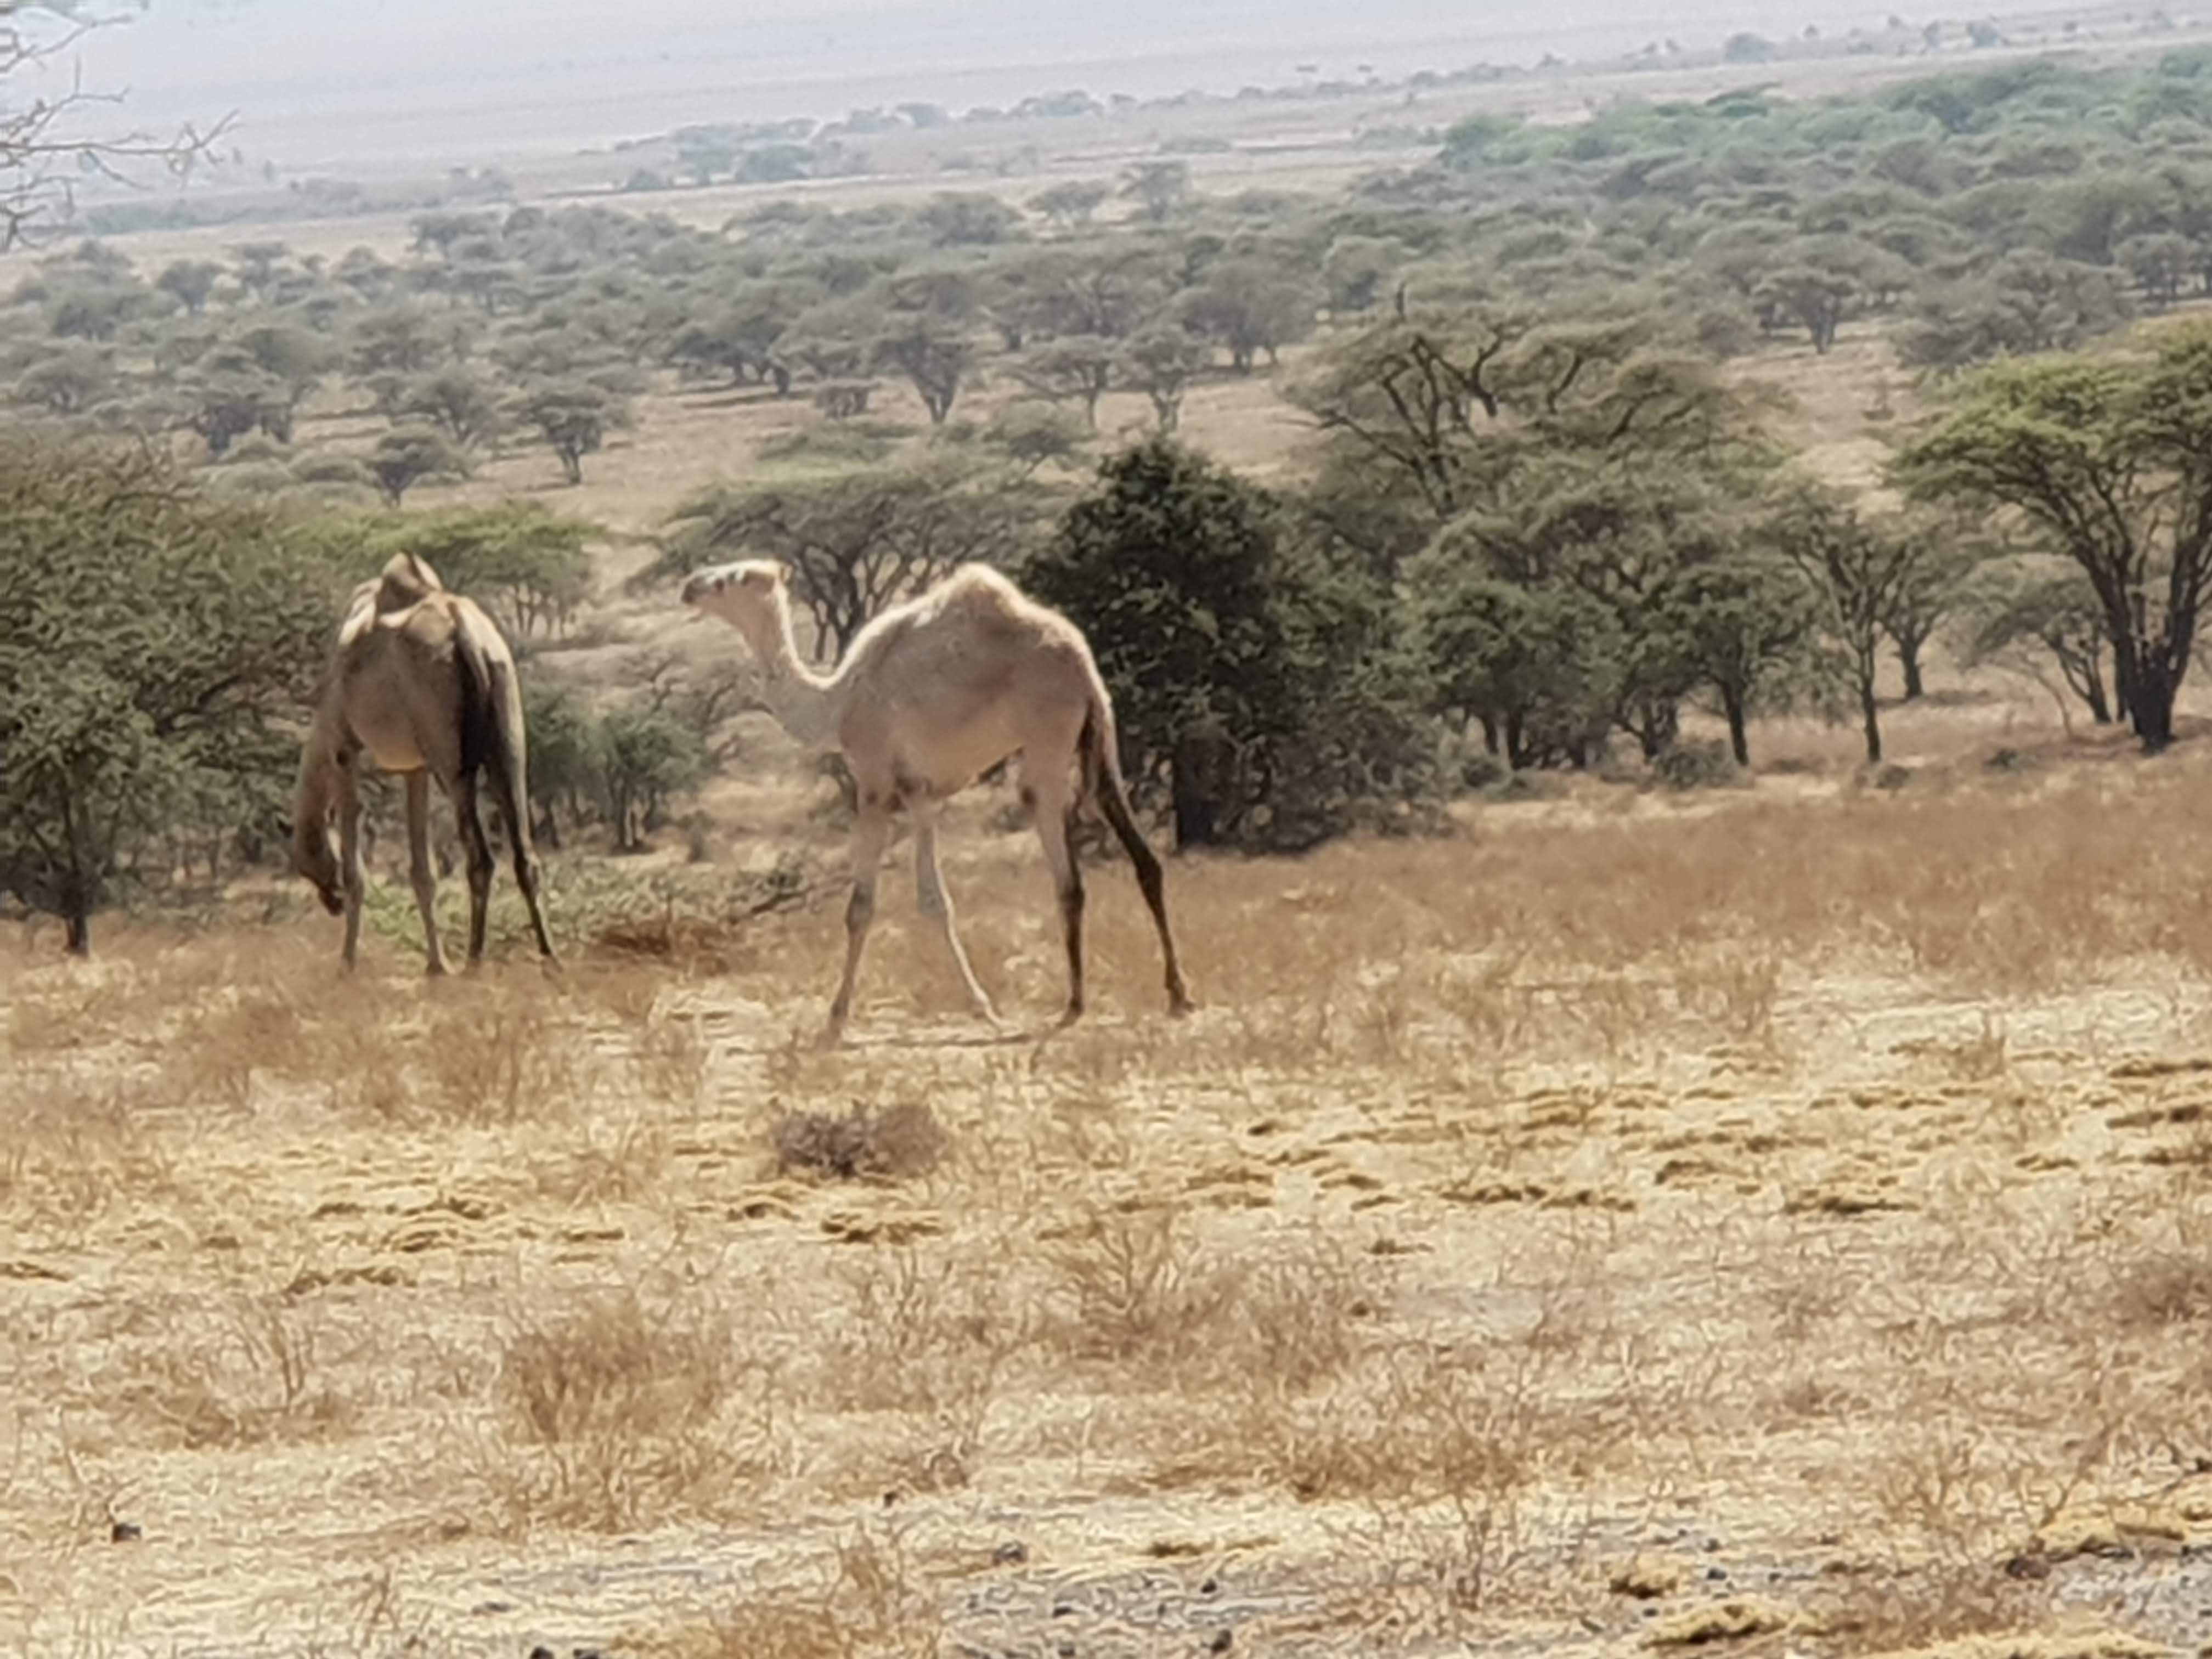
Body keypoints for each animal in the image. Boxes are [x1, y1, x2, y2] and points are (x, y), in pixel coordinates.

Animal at [291, 552, 556, 973]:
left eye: (306, 856)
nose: (330, 903)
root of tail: (466, 632)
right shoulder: (415, 767)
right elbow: (422, 872)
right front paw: (437, 967)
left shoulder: (344, 749)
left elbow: (357, 872)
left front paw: (347, 965)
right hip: (508, 731)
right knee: (525, 853)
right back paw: (550, 960)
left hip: (448, 752)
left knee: (480, 858)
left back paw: (474, 962)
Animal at [680, 559, 1190, 1043]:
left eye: (730, 579)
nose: (690, 585)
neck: (835, 703)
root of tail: (1082, 666)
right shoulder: (923, 793)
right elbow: (927, 901)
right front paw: (977, 1006)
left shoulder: (879, 785)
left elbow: (875, 906)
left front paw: (838, 1019)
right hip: (1099, 730)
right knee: (1134, 848)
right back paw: (1174, 994)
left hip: (1049, 734)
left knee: (1065, 864)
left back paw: (1076, 1004)